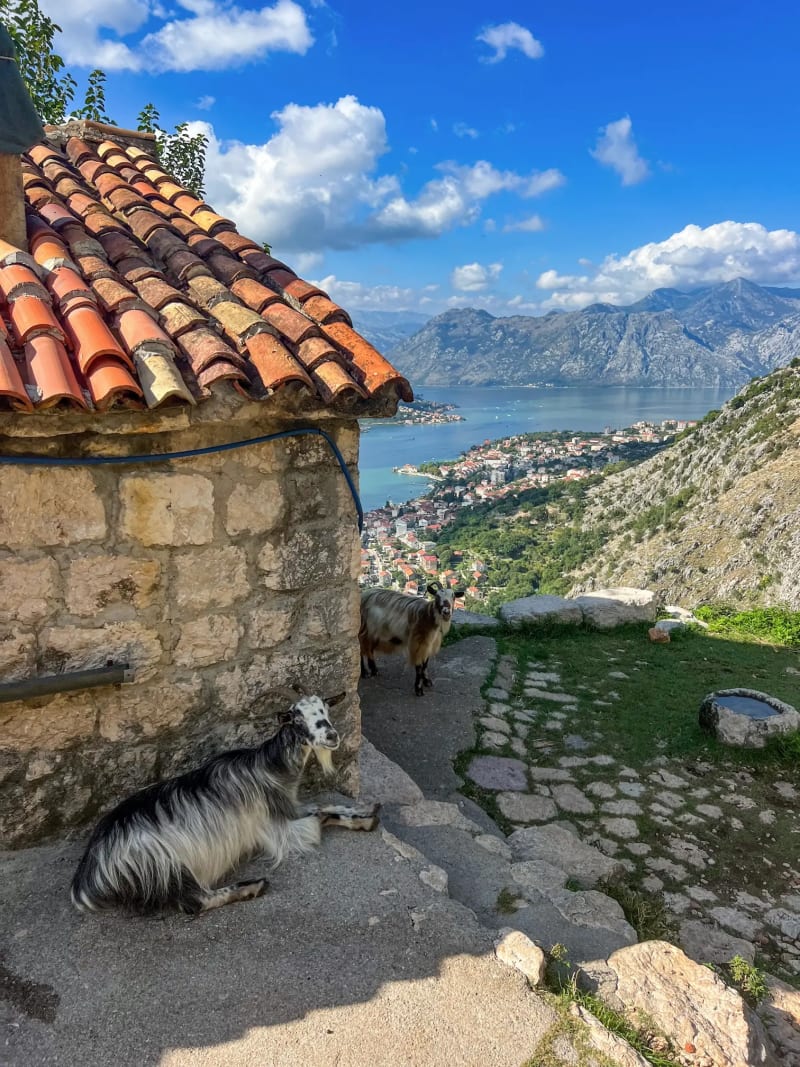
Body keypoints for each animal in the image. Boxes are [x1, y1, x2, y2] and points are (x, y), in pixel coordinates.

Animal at [70, 695, 379, 915]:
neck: (269, 768)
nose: (331, 736)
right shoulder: (274, 826)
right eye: (296, 719)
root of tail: (88, 873)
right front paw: (365, 817)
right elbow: (319, 816)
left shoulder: (288, 807)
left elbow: (324, 806)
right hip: (163, 863)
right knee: (193, 902)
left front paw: (365, 813)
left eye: (326, 710)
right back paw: (252, 887)